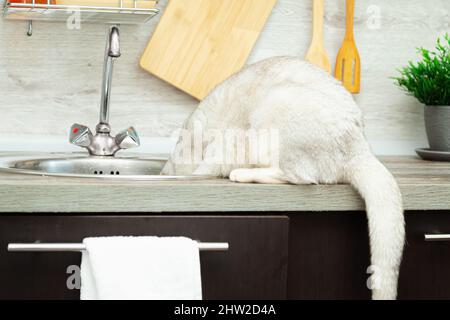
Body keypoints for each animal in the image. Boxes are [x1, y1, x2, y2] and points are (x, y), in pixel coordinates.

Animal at [163, 55, 408, 300]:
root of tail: (360, 149)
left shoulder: (227, 145)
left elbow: (210, 163)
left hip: (276, 106)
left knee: (299, 176)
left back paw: (242, 174)